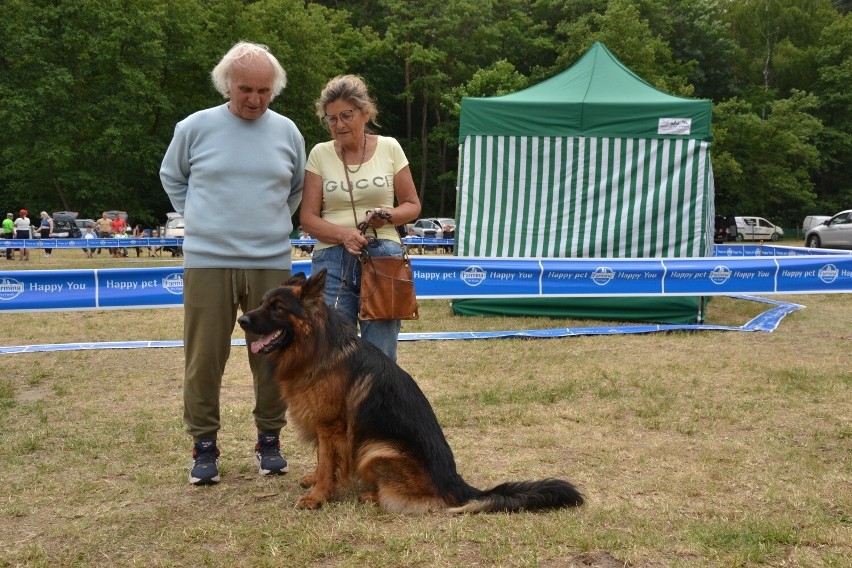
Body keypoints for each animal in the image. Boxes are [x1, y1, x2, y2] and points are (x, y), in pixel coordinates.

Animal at [240, 270, 584, 516]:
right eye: (262, 303)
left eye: (277, 308)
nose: (242, 320)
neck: (317, 346)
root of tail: (456, 484)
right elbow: (323, 460)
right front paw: (315, 480)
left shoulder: (330, 426)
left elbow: (327, 462)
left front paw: (318, 496)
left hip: (375, 449)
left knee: (420, 502)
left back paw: (372, 495)